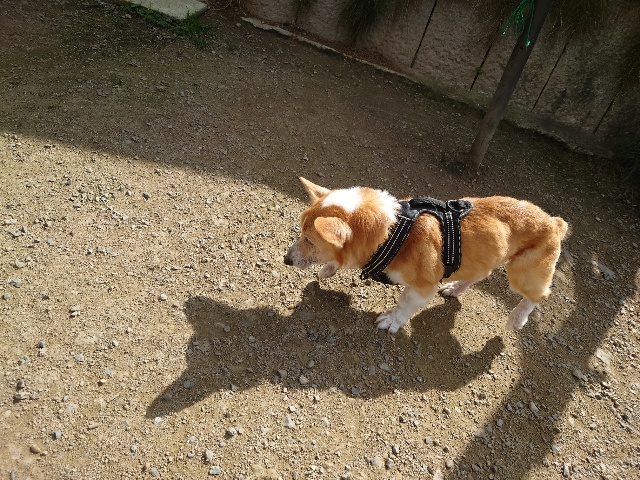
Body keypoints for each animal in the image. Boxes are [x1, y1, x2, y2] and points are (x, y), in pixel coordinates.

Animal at [284, 177, 568, 334]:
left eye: (309, 240)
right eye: (301, 233)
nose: (285, 260)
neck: (393, 230)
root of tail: (554, 222)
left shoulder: (422, 288)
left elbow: (404, 305)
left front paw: (391, 321)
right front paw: (329, 268)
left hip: (523, 272)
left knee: (539, 295)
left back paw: (518, 318)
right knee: (480, 273)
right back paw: (455, 288)